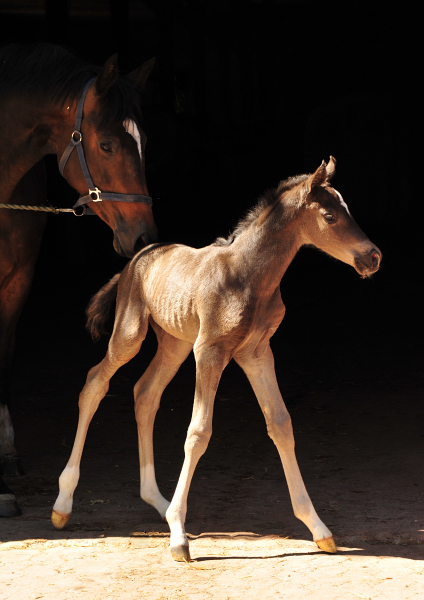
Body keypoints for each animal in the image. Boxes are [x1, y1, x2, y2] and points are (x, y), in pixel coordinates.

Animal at [52, 159, 380, 564]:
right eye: (330, 215)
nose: (373, 257)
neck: (251, 276)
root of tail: (135, 259)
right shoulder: (209, 350)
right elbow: (198, 432)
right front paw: (179, 538)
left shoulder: (257, 352)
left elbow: (281, 424)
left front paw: (318, 528)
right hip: (131, 334)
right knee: (95, 383)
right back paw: (63, 503)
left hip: (175, 342)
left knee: (145, 392)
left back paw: (157, 500)